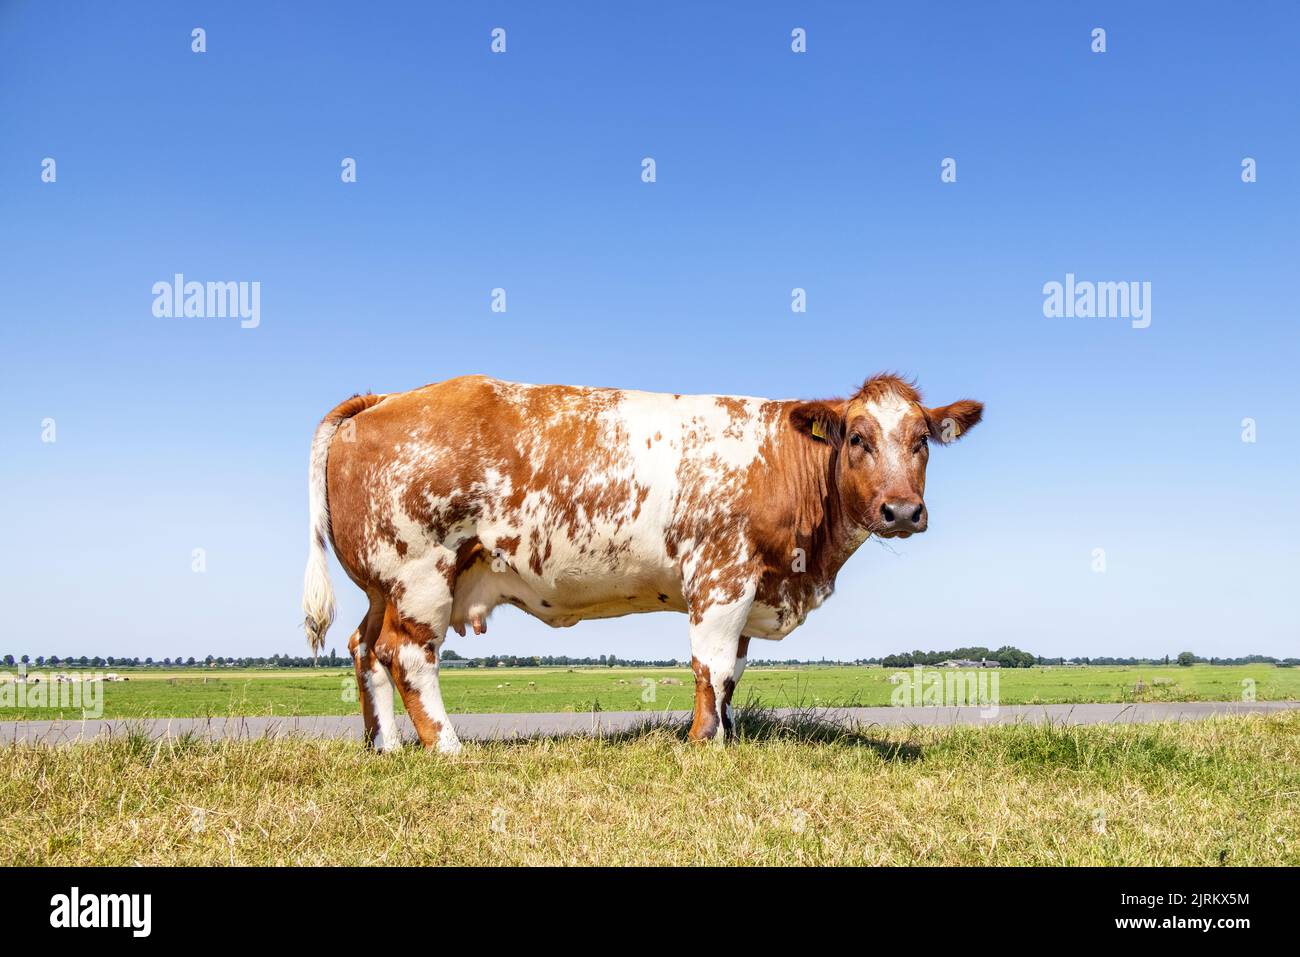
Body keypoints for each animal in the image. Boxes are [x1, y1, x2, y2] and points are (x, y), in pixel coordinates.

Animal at [299, 374, 977, 754]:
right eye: (858, 438)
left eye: (921, 441)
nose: (901, 510)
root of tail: (384, 399)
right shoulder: (721, 577)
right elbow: (711, 665)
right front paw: (705, 744)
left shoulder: (752, 586)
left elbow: (733, 672)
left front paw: (728, 735)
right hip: (421, 572)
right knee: (406, 654)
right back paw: (447, 748)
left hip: (382, 585)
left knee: (364, 648)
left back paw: (384, 746)